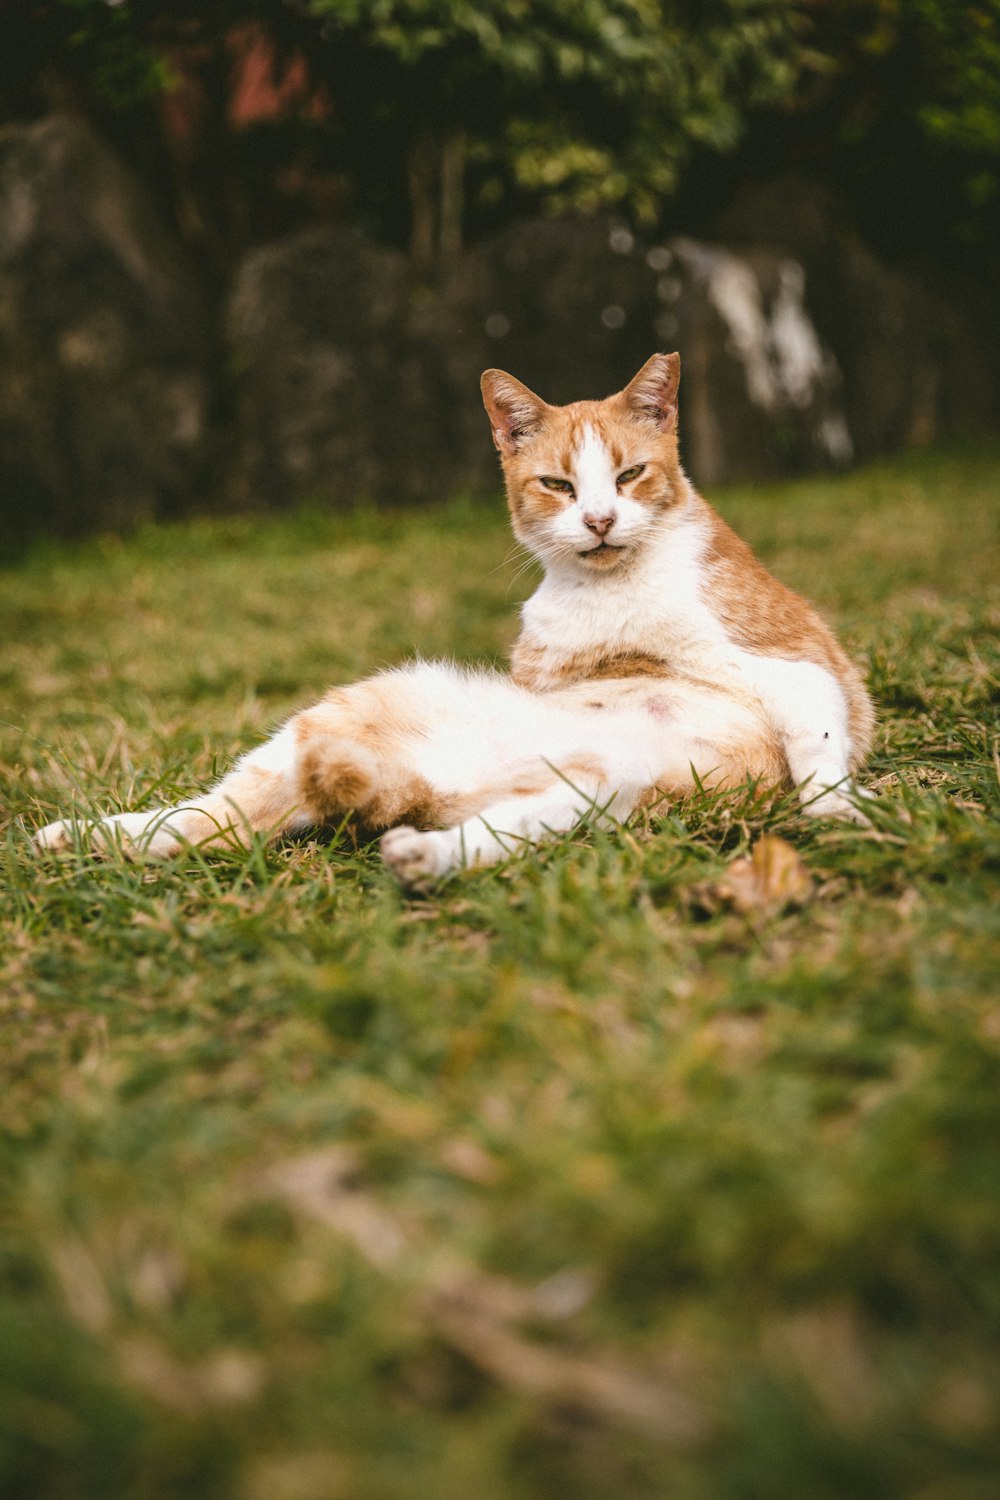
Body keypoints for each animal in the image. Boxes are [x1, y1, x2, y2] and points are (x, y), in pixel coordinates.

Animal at [35, 355, 869, 882]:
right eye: (559, 486)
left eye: (630, 474)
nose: (600, 521)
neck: (604, 593)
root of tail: (426, 786)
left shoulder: (797, 664)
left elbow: (819, 742)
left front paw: (834, 814)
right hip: (344, 719)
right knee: (208, 818)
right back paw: (78, 837)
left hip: (591, 800)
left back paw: (419, 859)